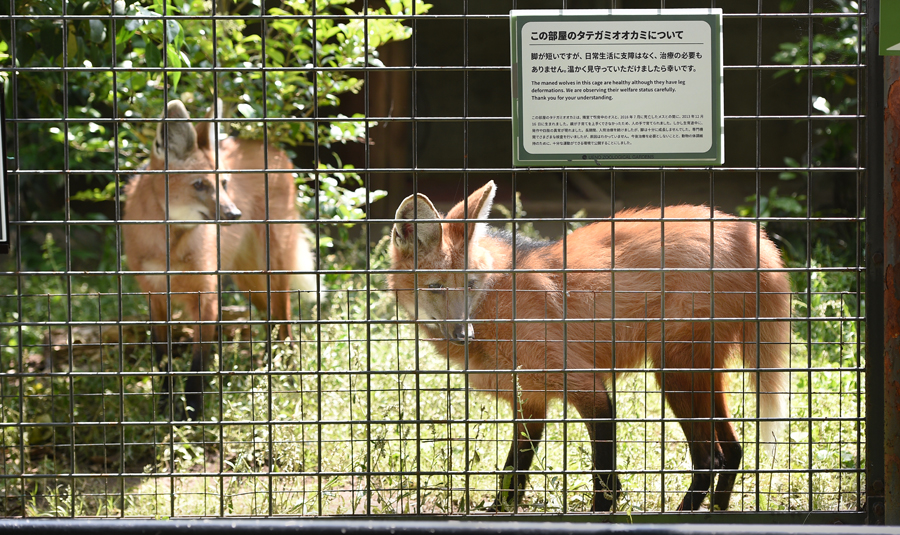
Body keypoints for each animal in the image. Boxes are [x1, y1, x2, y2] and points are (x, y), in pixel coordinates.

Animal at [123, 99, 318, 418]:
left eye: (224, 184)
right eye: (199, 185)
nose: (234, 214)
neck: (169, 246)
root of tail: (272, 148)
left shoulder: (207, 297)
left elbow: (197, 366)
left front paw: (193, 414)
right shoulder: (155, 296)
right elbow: (163, 361)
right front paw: (164, 409)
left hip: (271, 268)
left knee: (285, 321)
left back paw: (287, 377)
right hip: (248, 280)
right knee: (270, 318)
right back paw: (270, 368)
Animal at [386, 182, 788, 512]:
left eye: (470, 284)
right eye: (436, 287)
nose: (463, 332)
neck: (497, 300)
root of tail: (749, 233)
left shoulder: (589, 390)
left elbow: (606, 483)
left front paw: (600, 513)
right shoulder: (530, 403)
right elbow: (512, 475)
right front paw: (500, 512)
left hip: (673, 372)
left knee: (709, 459)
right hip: (695, 373)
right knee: (732, 450)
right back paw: (716, 510)